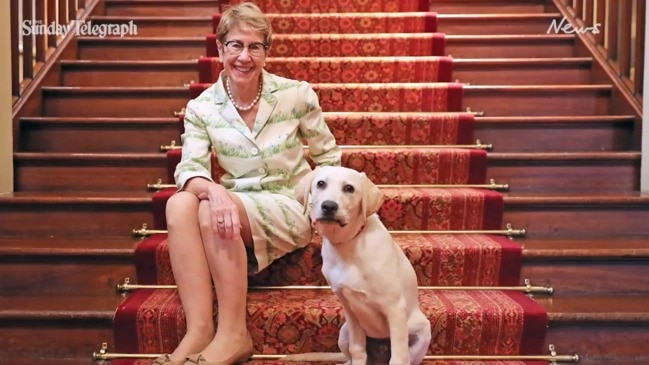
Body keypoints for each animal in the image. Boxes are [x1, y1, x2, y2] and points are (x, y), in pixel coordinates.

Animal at [298, 166, 430, 364]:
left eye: (349, 188)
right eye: (321, 184)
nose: (329, 206)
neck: (348, 244)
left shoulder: (395, 308)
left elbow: (398, 357)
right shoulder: (350, 310)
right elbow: (358, 350)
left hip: (422, 331)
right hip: (344, 331)